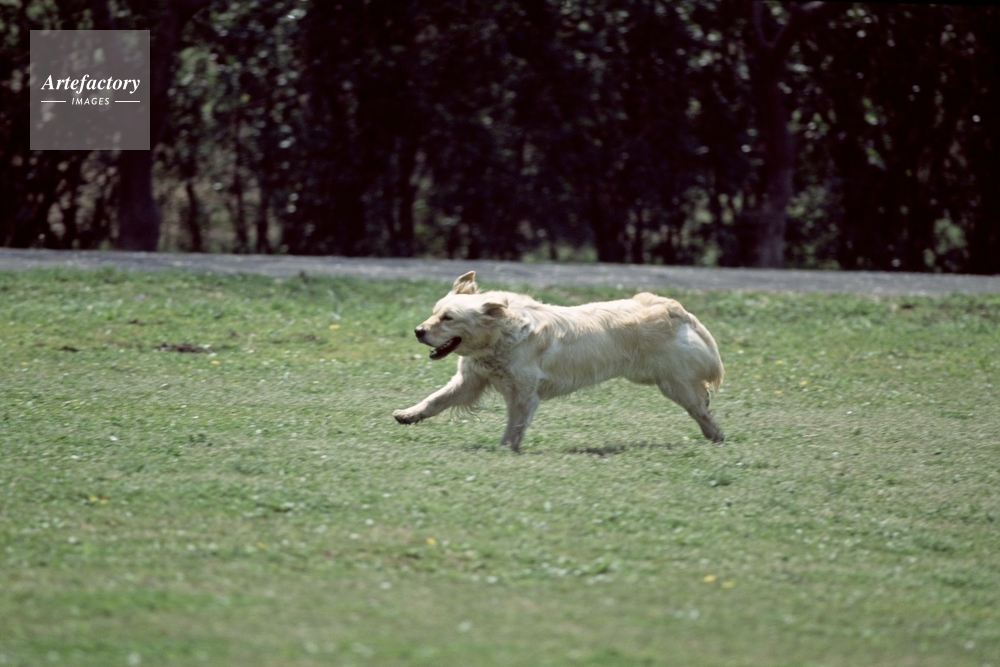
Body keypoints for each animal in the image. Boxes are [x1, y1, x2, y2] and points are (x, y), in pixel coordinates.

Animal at [393, 272, 724, 451]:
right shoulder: (470, 380)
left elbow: (514, 426)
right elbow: (436, 400)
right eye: (435, 313)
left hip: (673, 383)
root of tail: (673, 307)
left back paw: (716, 435)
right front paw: (408, 414)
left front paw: (502, 450)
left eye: (448, 318)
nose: (418, 331)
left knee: (701, 407)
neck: (501, 336)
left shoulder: (523, 395)